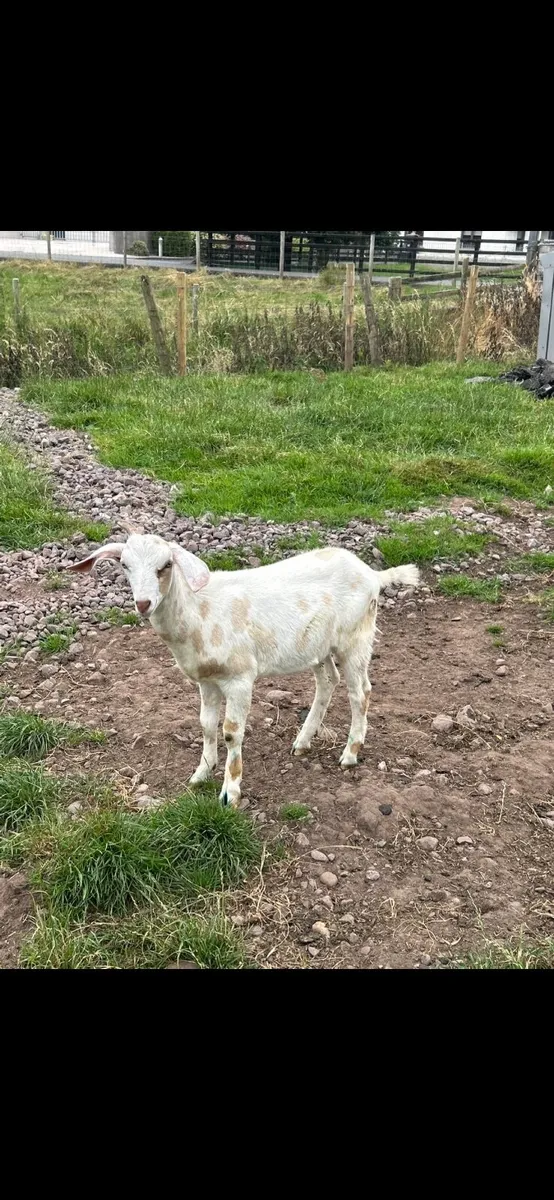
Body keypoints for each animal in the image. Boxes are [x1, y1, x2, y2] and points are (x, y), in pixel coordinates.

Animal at [69, 536, 420, 807]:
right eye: (124, 565)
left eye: (165, 565)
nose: (143, 604)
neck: (197, 613)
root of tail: (373, 574)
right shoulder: (206, 680)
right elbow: (206, 724)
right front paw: (201, 773)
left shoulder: (239, 678)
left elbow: (230, 731)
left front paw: (230, 792)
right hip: (317, 646)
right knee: (328, 682)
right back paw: (303, 741)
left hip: (356, 638)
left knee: (361, 692)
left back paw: (350, 753)